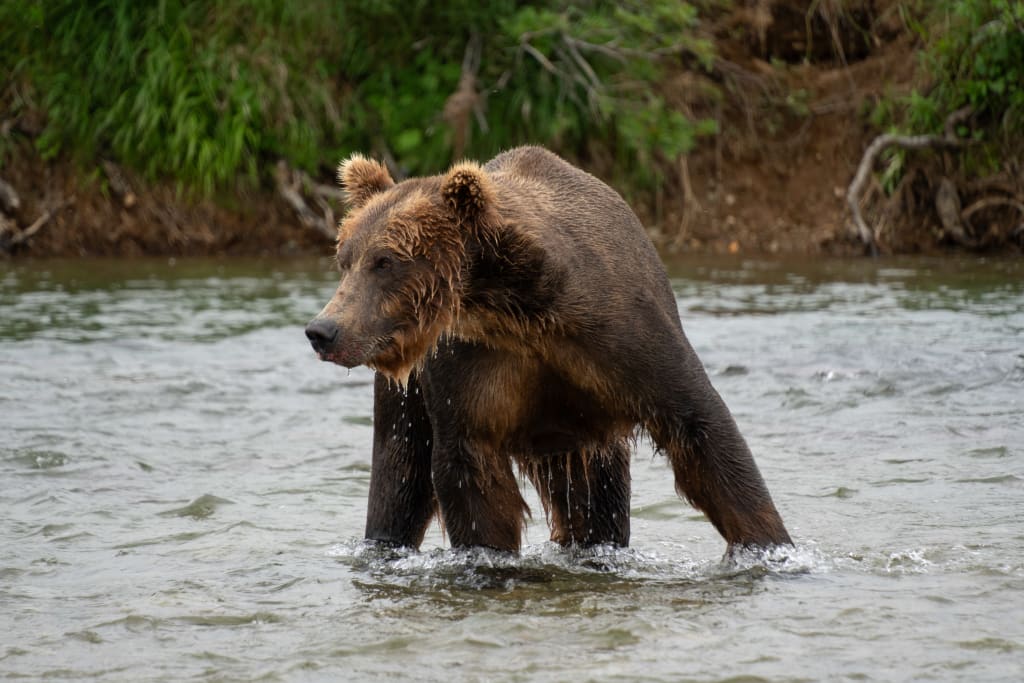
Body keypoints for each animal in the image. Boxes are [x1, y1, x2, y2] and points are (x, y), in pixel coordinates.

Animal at [305, 146, 791, 555]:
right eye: (345, 258)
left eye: (385, 261)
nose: (323, 330)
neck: (518, 311)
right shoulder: (471, 368)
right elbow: (471, 473)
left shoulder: (622, 334)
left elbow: (703, 431)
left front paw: (771, 546)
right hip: (409, 395)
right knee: (398, 472)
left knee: (599, 503)